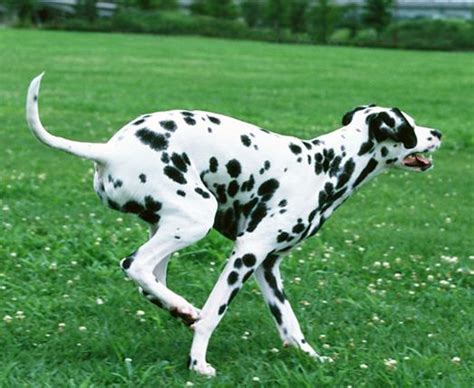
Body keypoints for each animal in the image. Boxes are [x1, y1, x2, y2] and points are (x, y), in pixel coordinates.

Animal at [25, 73, 440, 376]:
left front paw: (312, 359)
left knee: (151, 283)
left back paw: (180, 309)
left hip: (170, 227)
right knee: (137, 267)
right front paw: (198, 363)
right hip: (196, 219)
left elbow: (290, 325)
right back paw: (186, 311)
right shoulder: (247, 254)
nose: (438, 133)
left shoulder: (268, 267)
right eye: (411, 124)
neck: (324, 165)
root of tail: (110, 149)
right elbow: (214, 315)